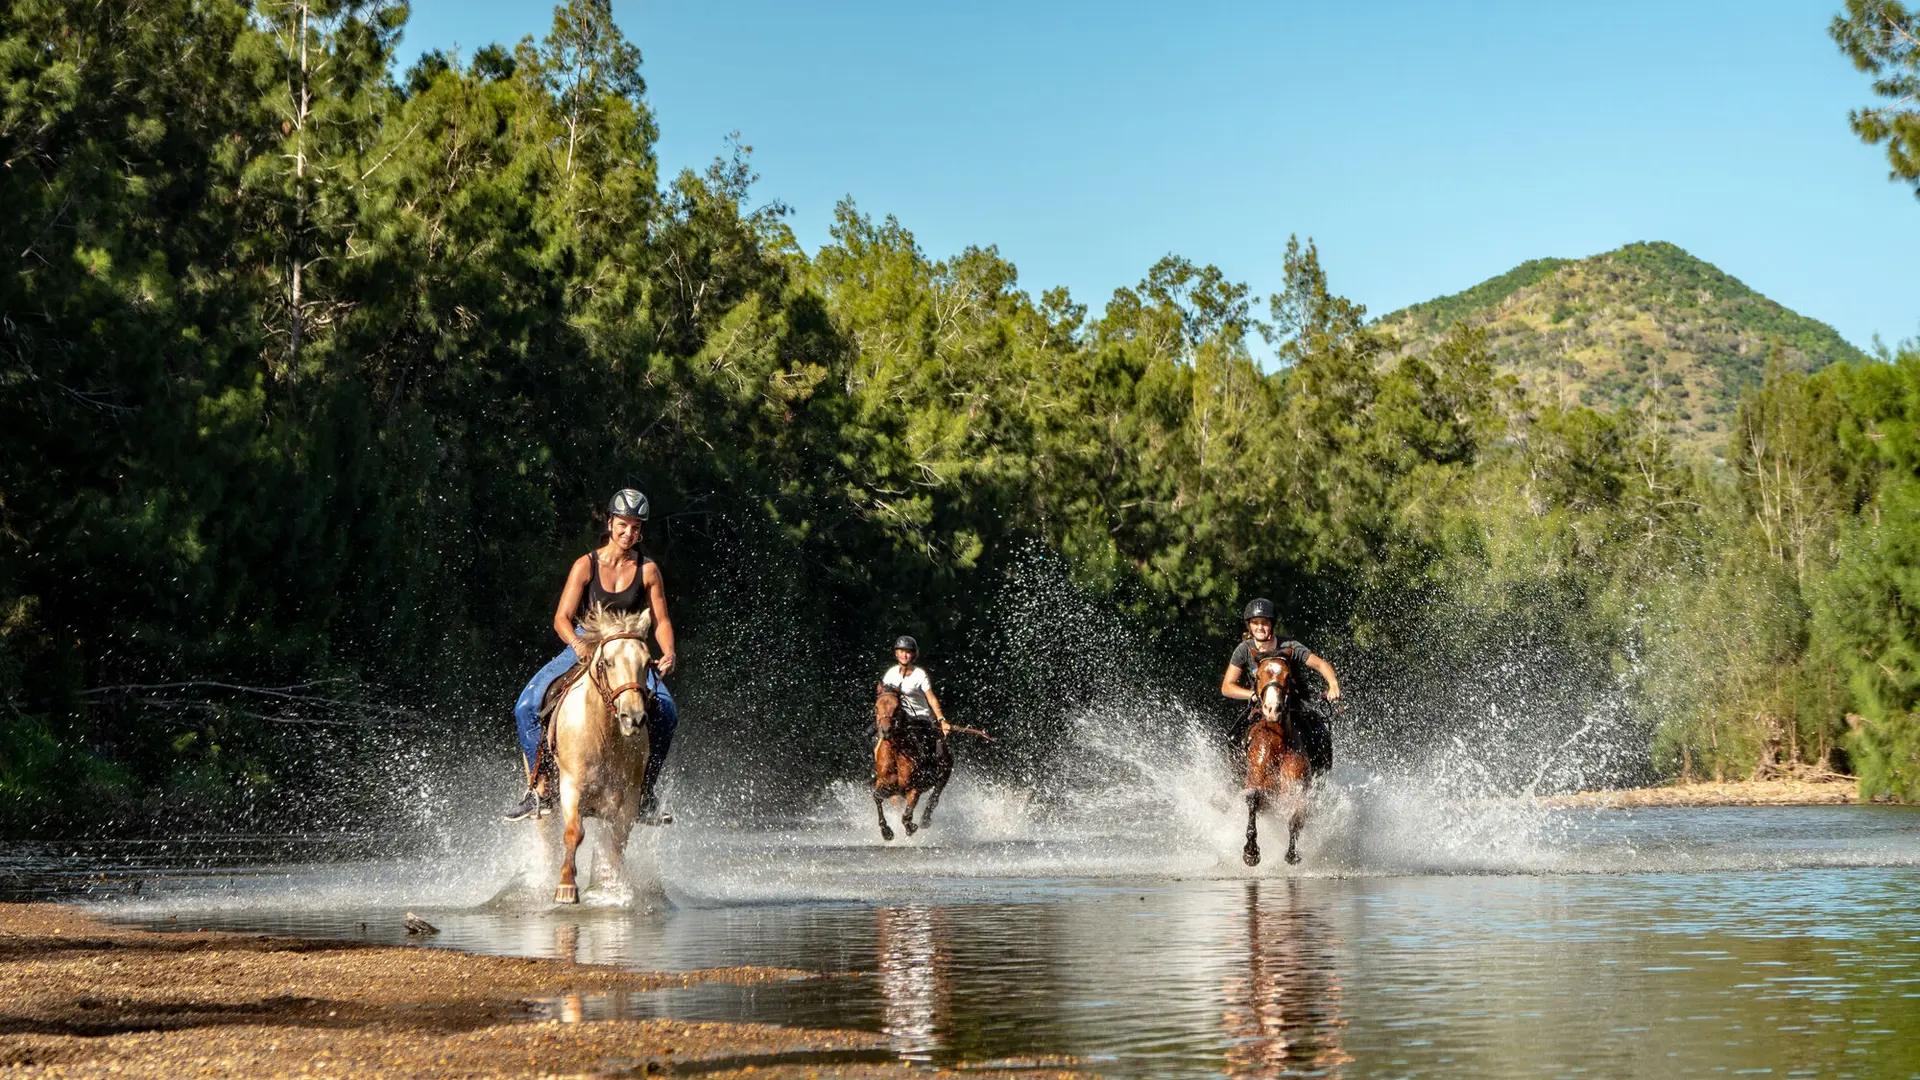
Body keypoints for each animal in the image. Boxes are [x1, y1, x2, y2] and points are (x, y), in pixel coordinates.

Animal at [545, 607, 656, 899]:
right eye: (607, 662)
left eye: (648, 662)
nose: (633, 718)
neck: (603, 735)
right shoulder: (570, 785)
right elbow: (573, 833)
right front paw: (566, 886)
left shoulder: (627, 797)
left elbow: (616, 842)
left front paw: (610, 887)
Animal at [875, 687, 956, 841]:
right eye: (876, 707)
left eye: (897, 708)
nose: (885, 730)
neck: (897, 753)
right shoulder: (885, 785)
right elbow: (877, 796)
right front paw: (886, 832)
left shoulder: (914, 788)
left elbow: (907, 815)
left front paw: (910, 827)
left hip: (944, 774)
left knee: (934, 798)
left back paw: (925, 820)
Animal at [1236, 645, 1313, 864]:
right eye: (1258, 676)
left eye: (1288, 676)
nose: (1272, 709)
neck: (1277, 745)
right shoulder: (1254, 782)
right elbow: (1253, 801)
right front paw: (1251, 852)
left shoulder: (1298, 786)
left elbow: (1296, 816)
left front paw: (1292, 853)